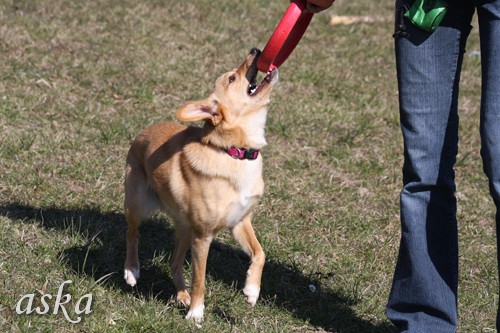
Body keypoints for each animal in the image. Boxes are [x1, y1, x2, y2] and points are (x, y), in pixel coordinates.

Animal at [121, 48, 278, 320]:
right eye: (232, 79)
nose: (256, 50)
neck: (235, 153)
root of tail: (144, 132)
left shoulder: (239, 222)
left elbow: (260, 253)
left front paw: (252, 290)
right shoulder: (203, 237)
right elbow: (200, 279)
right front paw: (196, 313)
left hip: (185, 229)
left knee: (174, 262)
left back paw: (181, 294)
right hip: (139, 205)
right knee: (133, 233)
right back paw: (132, 270)